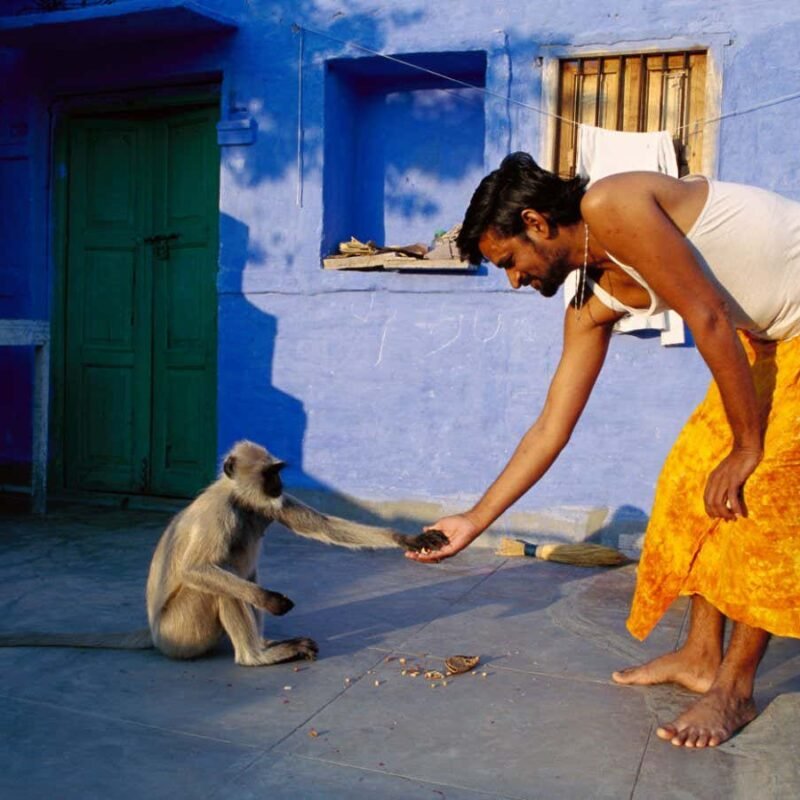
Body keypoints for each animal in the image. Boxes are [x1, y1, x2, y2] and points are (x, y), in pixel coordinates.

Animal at [0, 441, 447, 666]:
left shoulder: (266, 503)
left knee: (242, 574)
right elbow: (197, 569)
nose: (279, 482)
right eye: (270, 472)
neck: (239, 499)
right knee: (222, 582)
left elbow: (319, 526)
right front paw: (271, 600)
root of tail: (154, 632)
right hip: (180, 631)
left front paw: (407, 539)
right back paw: (255, 656)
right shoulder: (219, 514)